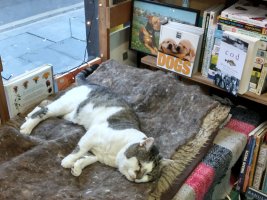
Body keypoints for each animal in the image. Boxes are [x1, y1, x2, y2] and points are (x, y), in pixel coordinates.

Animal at [19, 64, 164, 183]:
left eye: (148, 175)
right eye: (139, 164)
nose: (137, 177)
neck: (115, 155)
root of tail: (93, 84)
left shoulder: (96, 154)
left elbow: (87, 158)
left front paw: (77, 167)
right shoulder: (92, 135)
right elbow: (79, 150)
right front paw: (67, 161)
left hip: (67, 114)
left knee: (44, 104)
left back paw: (27, 116)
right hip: (63, 106)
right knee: (44, 110)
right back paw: (26, 127)